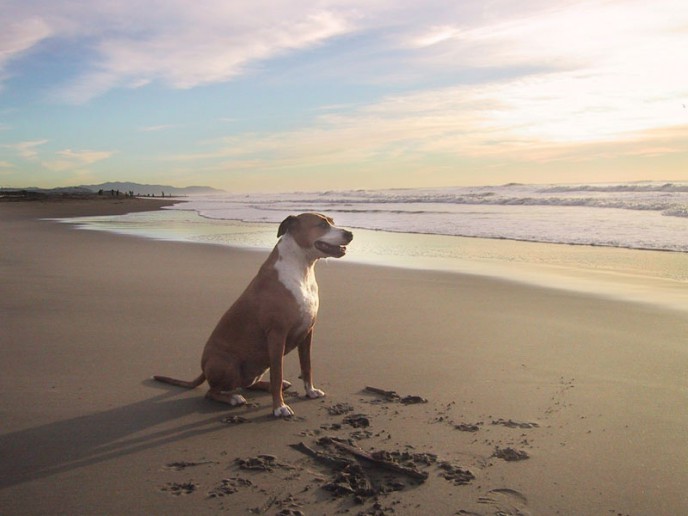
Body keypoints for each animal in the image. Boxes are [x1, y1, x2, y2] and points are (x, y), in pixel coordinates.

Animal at [153, 212, 352, 418]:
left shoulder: (307, 332)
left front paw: (310, 391)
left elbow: (307, 366)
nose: (350, 234)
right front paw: (279, 407)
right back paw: (233, 398)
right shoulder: (277, 334)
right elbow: (277, 373)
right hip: (226, 364)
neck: (302, 268)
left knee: (248, 383)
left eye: (332, 221)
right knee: (212, 391)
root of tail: (204, 368)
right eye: (322, 225)